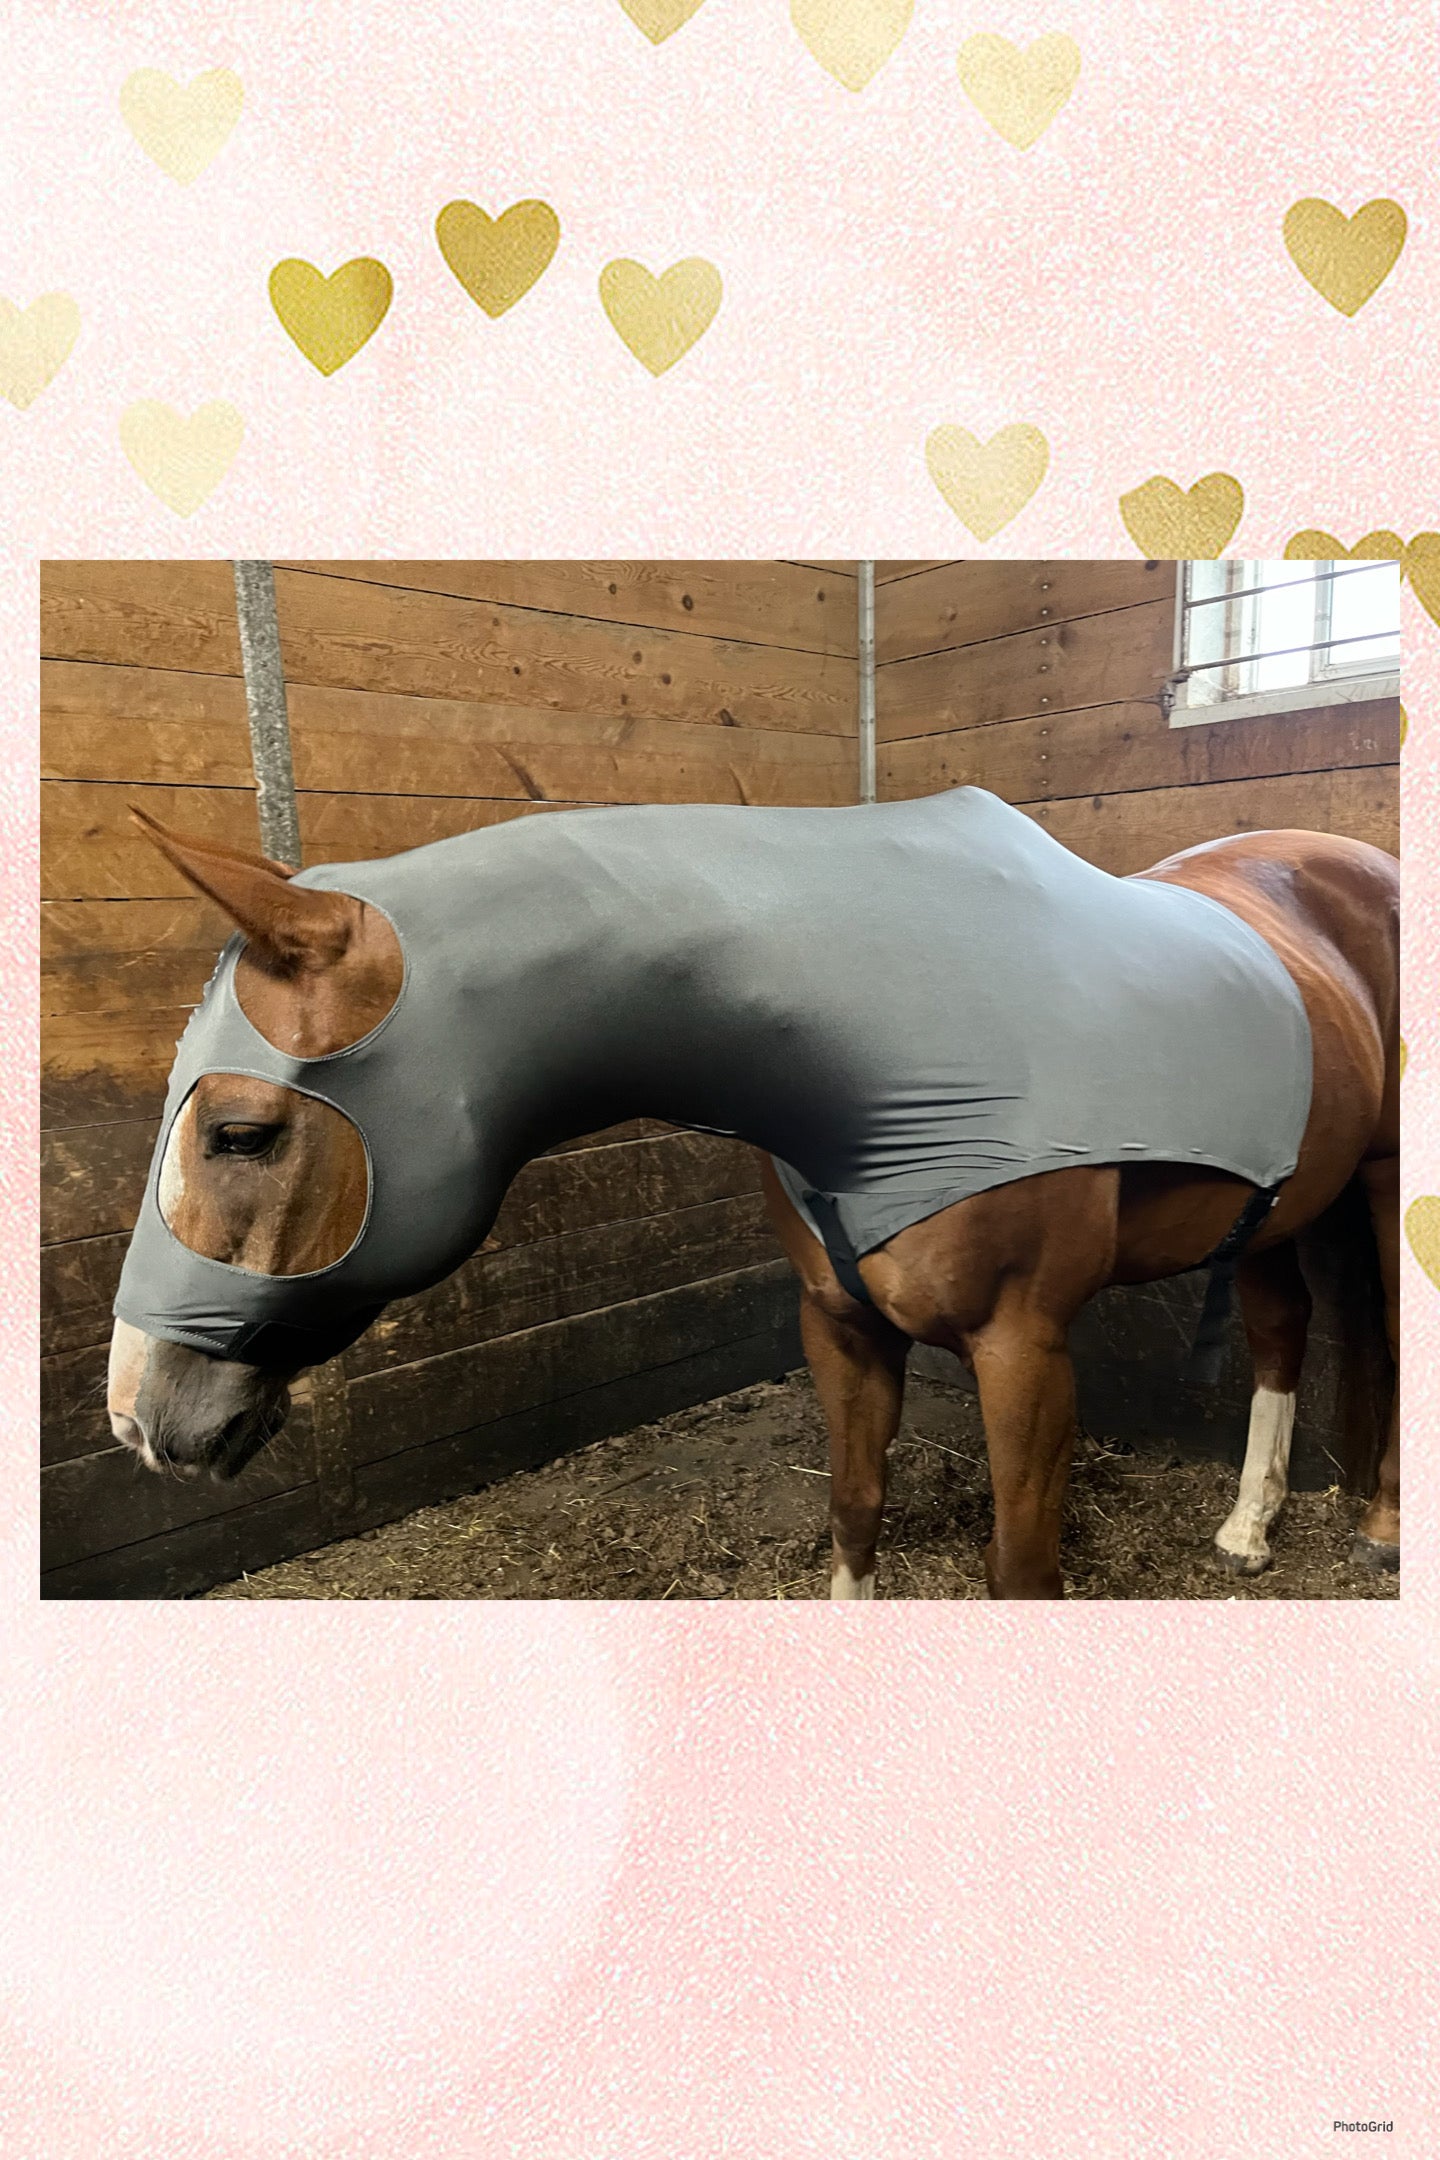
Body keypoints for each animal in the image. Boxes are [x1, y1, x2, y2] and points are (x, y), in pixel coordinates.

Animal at [106, 794, 1399, 1600]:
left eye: (238, 1133)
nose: (139, 1419)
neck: (876, 1034)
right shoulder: (840, 1327)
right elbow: (854, 1512)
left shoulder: (1024, 1346)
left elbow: (1019, 1572)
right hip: (1278, 1205)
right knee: (1282, 1332)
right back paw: (1247, 1530)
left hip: (1379, 1190)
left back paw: (1377, 1528)